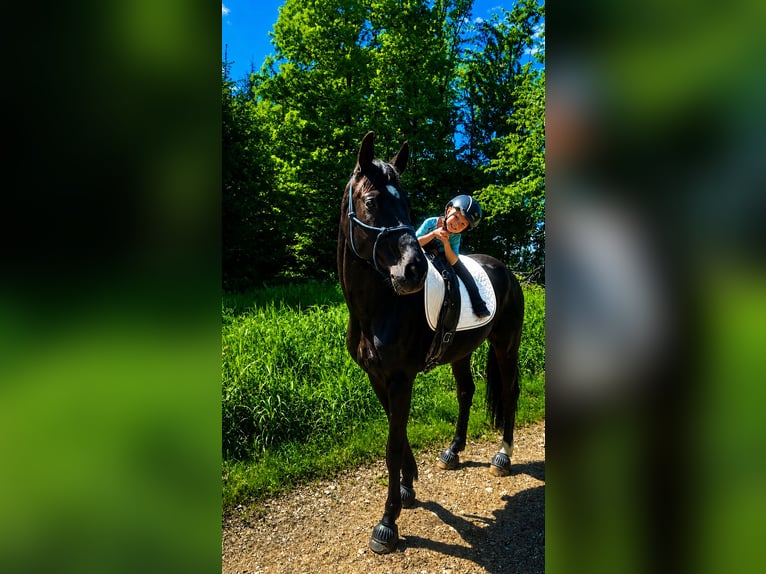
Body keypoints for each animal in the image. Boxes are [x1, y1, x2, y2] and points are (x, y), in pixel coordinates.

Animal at [337, 131, 525, 554]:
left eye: (406, 203)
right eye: (372, 202)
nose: (414, 270)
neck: (380, 305)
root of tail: (506, 270)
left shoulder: (400, 378)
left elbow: (392, 445)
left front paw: (387, 522)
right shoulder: (378, 377)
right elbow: (398, 431)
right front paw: (408, 487)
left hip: (506, 345)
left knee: (509, 392)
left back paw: (502, 456)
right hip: (461, 351)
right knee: (466, 392)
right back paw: (453, 451)